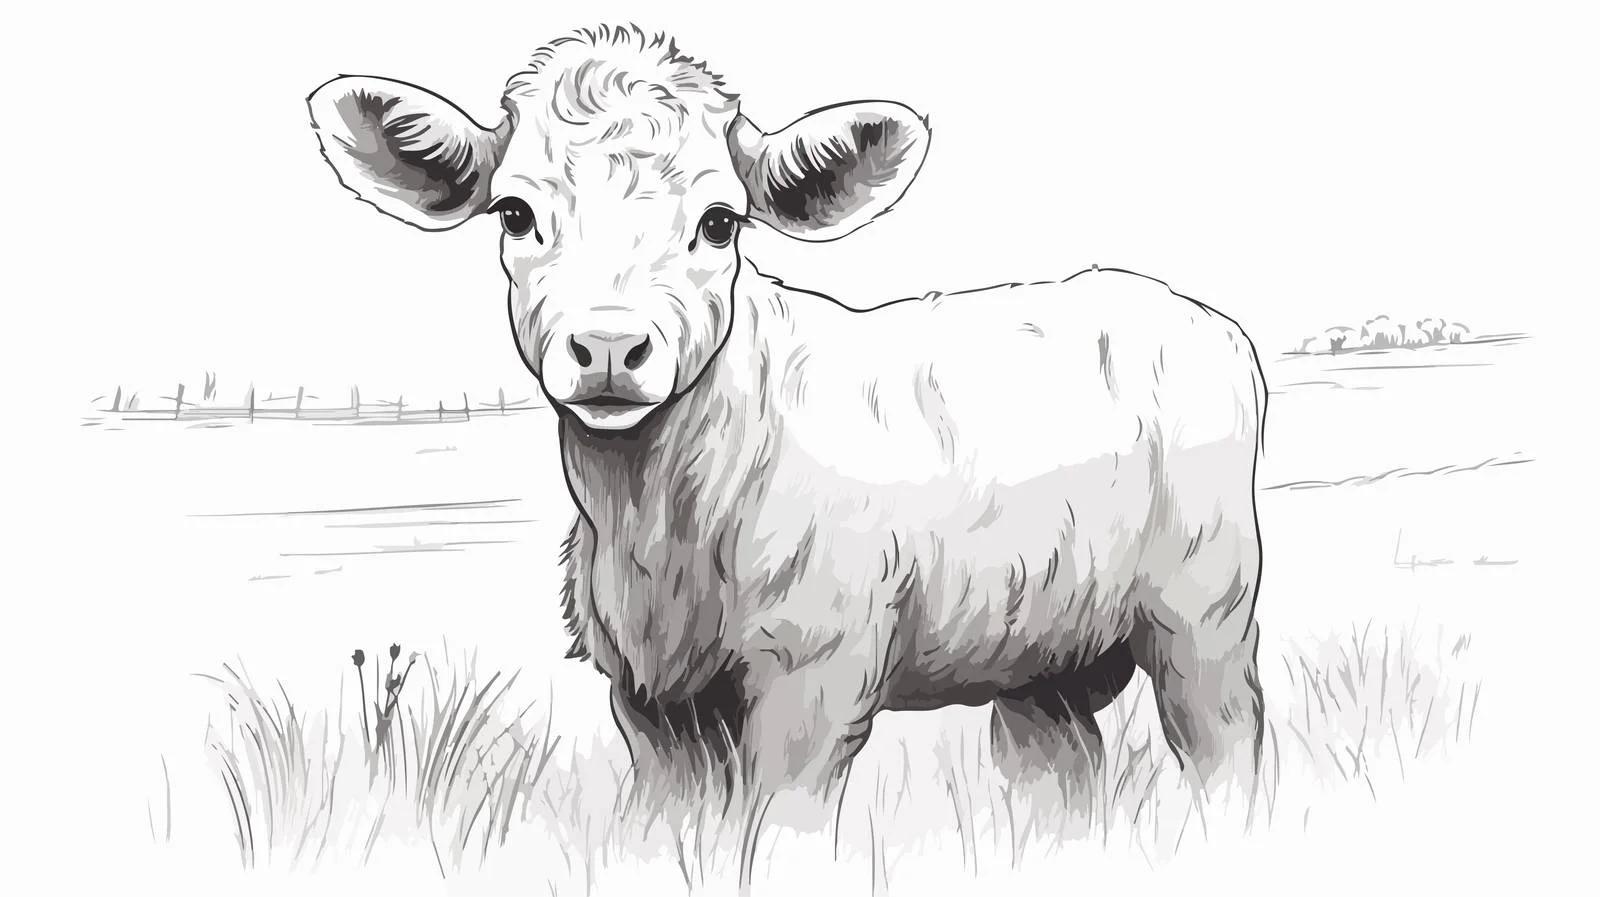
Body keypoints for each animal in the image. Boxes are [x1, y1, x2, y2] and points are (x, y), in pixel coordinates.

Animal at [307, 24, 1268, 832]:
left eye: (718, 222)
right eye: (515, 213)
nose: (610, 347)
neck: (661, 524)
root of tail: (1191, 312)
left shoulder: (816, 673)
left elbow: (779, 830)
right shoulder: (650, 705)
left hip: (1206, 611)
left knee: (1225, 745)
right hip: (1041, 650)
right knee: (1056, 772)